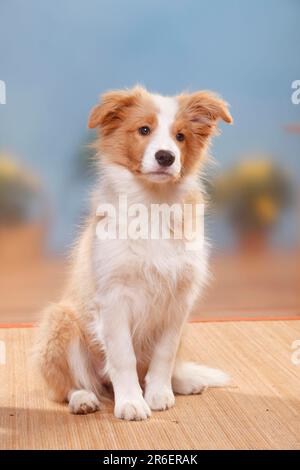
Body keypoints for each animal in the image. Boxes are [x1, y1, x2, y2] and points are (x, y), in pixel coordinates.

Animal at [34, 86, 232, 420]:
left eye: (180, 136)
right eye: (144, 130)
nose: (166, 157)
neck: (153, 203)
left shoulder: (179, 300)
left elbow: (164, 355)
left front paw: (159, 394)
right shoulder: (114, 298)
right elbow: (122, 356)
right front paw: (131, 403)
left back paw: (184, 380)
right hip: (60, 321)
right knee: (66, 386)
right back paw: (83, 399)